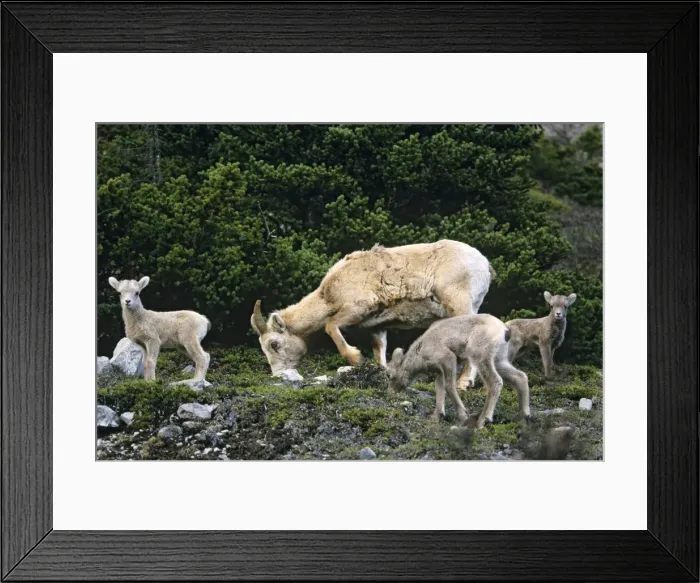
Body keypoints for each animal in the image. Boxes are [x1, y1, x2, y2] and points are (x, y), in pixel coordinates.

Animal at [251, 239, 495, 389]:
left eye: (274, 344)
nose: (278, 374)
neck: (328, 294)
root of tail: (484, 263)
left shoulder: (357, 308)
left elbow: (331, 325)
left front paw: (355, 357)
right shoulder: (377, 326)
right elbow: (380, 350)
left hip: (459, 304)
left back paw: (463, 384)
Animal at [385, 314, 530, 429]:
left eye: (389, 375)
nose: (390, 393)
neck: (420, 355)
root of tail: (505, 331)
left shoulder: (449, 358)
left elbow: (449, 387)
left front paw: (463, 415)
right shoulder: (439, 371)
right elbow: (439, 389)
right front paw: (436, 417)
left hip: (480, 356)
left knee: (495, 382)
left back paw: (482, 421)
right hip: (499, 360)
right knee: (520, 376)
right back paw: (524, 416)